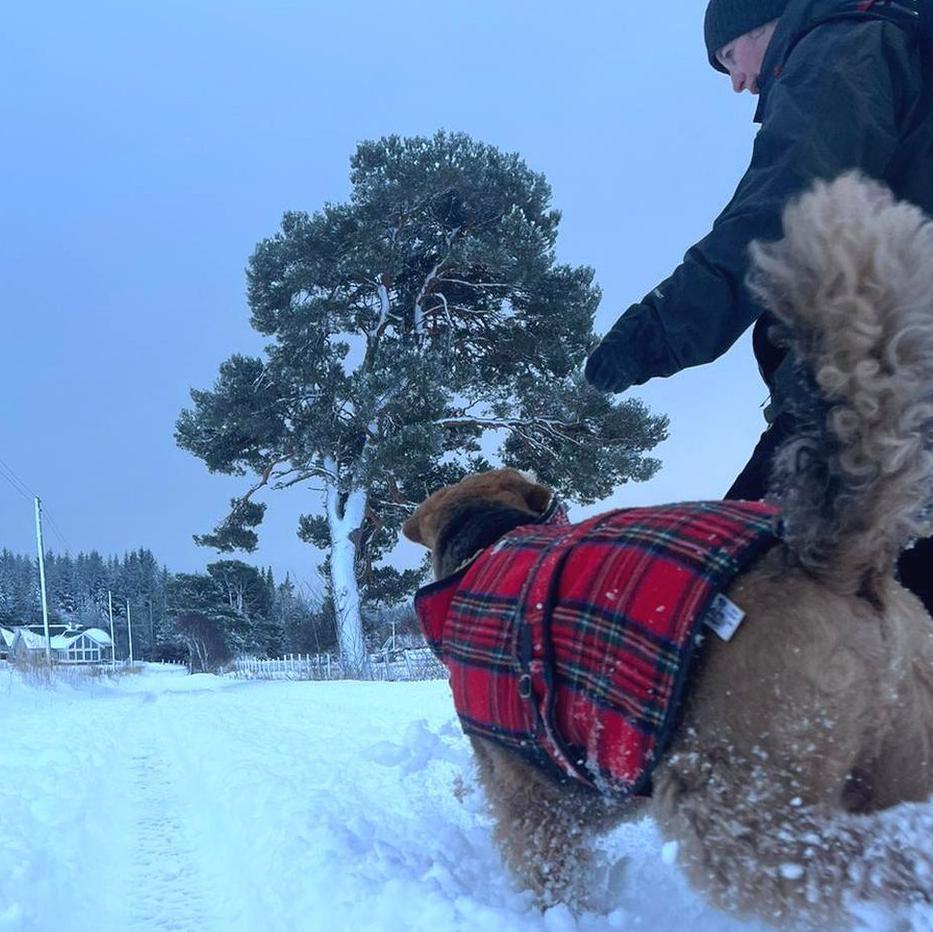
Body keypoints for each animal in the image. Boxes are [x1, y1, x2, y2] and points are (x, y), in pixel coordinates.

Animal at [404, 173, 932, 924]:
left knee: (860, 859)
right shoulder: (593, 773)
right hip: (895, 758)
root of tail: (840, 563)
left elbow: (544, 867)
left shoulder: (526, 786)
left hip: (739, 799)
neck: (488, 542)